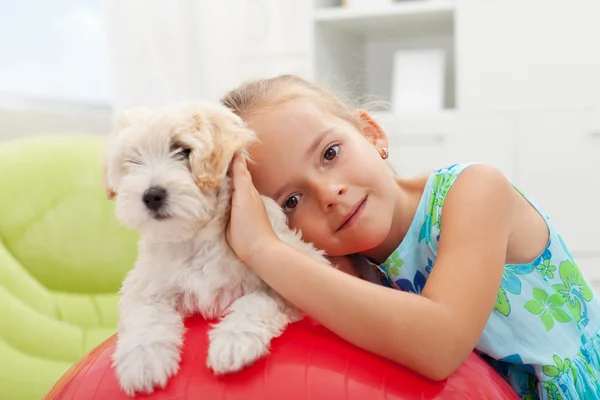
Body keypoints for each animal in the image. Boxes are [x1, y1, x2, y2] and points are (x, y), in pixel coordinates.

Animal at [102, 101, 328, 396]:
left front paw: (234, 342)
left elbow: (257, 300)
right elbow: (145, 318)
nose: (151, 195)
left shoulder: (294, 267)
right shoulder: (144, 286)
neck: (196, 238)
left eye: (183, 150)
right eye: (133, 160)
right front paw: (143, 361)